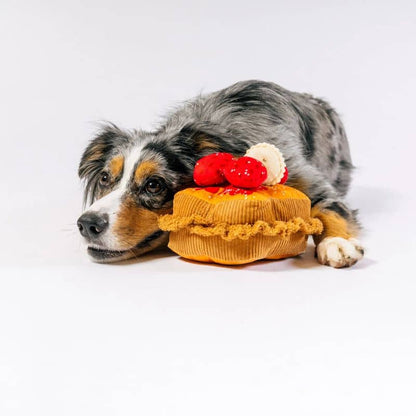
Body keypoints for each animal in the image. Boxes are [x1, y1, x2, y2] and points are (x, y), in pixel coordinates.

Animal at [77, 80, 364, 268]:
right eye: (104, 178)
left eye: (154, 185)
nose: (87, 224)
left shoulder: (308, 179)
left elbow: (331, 208)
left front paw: (337, 243)